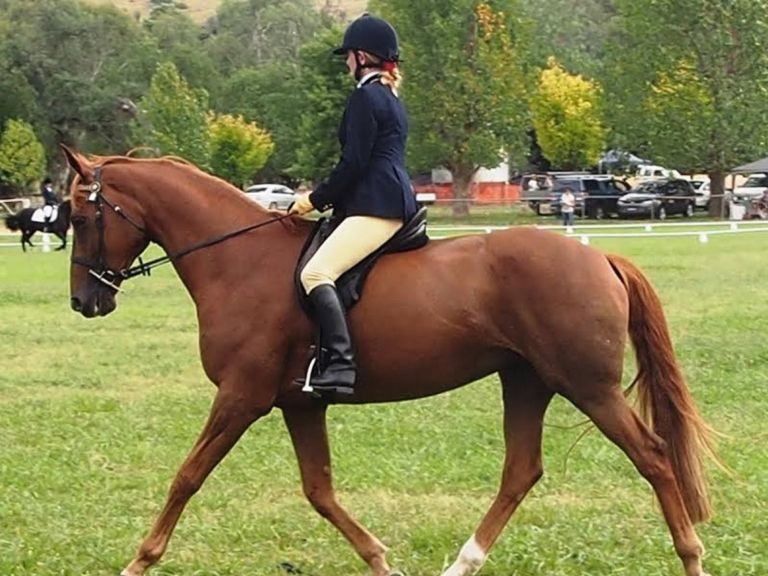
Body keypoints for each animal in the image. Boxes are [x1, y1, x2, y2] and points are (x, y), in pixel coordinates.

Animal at [63, 148, 716, 576]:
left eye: (81, 217)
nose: (84, 301)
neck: (237, 261)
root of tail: (600, 256)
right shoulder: (299, 403)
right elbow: (319, 490)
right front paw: (380, 560)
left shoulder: (240, 397)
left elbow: (187, 476)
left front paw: (138, 562)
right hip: (526, 380)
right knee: (521, 470)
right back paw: (462, 564)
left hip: (588, 386)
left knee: (654, 458)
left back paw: (691, 557)